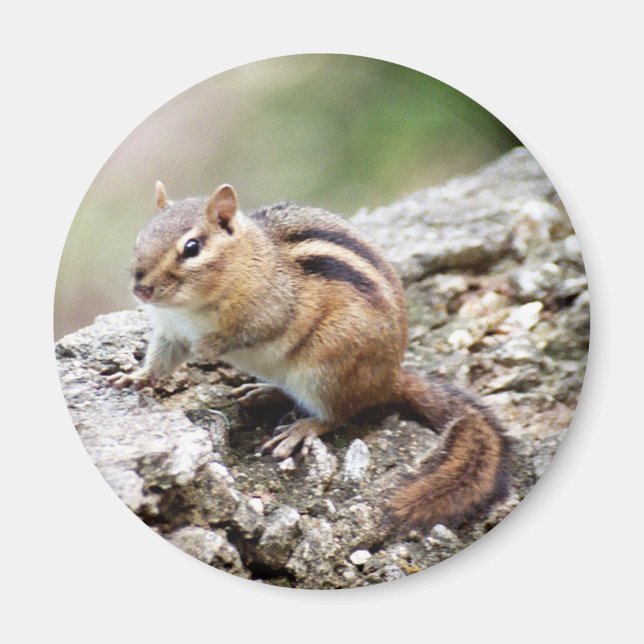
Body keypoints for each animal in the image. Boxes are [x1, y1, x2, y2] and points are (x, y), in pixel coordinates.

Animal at [108, 181, 512, 530]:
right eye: (140, 240)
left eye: (192, 247)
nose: (141, 289)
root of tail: (388, 379)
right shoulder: (170, 331)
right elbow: (161, 360)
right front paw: (134, 377)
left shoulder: (273, 307)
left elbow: (249, 331)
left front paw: (209, 347)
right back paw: (263, 392)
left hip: (324, 370)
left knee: (340, 415)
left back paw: (302, 428)